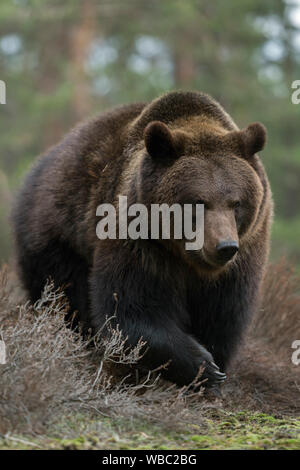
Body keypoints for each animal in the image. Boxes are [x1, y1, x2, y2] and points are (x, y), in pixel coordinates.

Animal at [12, 91, 274, 386]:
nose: (224, 246)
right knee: (63, 291)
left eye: (236, 202)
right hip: (57, 230)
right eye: (198, 202)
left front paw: (213, 368)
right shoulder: (139, 239)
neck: (186, 257)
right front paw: (203, 366)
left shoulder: (245, 253)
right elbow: (133, 308)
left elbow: (223, 315)